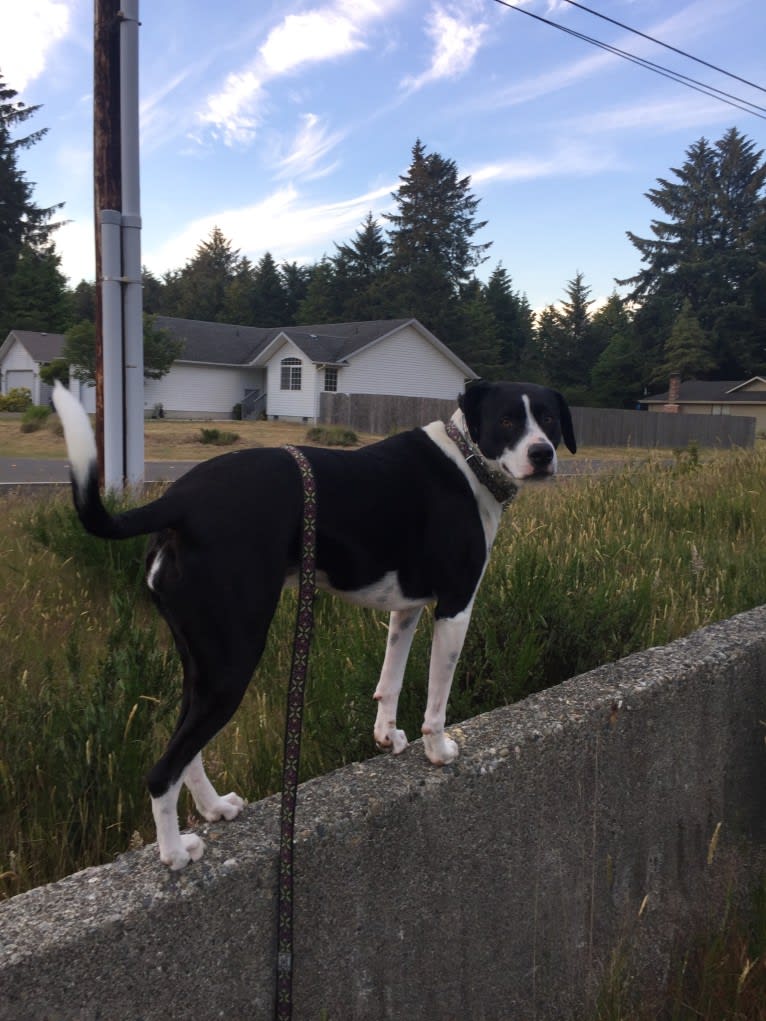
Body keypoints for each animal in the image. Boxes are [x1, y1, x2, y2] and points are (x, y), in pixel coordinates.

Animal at [52, 381, 576, 869]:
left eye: (549, 419)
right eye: (507, 421)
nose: (543, 454)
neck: (467, 461)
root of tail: (178, 501)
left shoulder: (406, 608)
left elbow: (391, 680)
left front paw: (387, 736)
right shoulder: (455, 608)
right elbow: (436, 699)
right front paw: (438, 750)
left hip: (202, 662)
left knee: (188, 746)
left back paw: (215, 808)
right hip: (233, 663)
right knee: (164, 769)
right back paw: (175, 853)